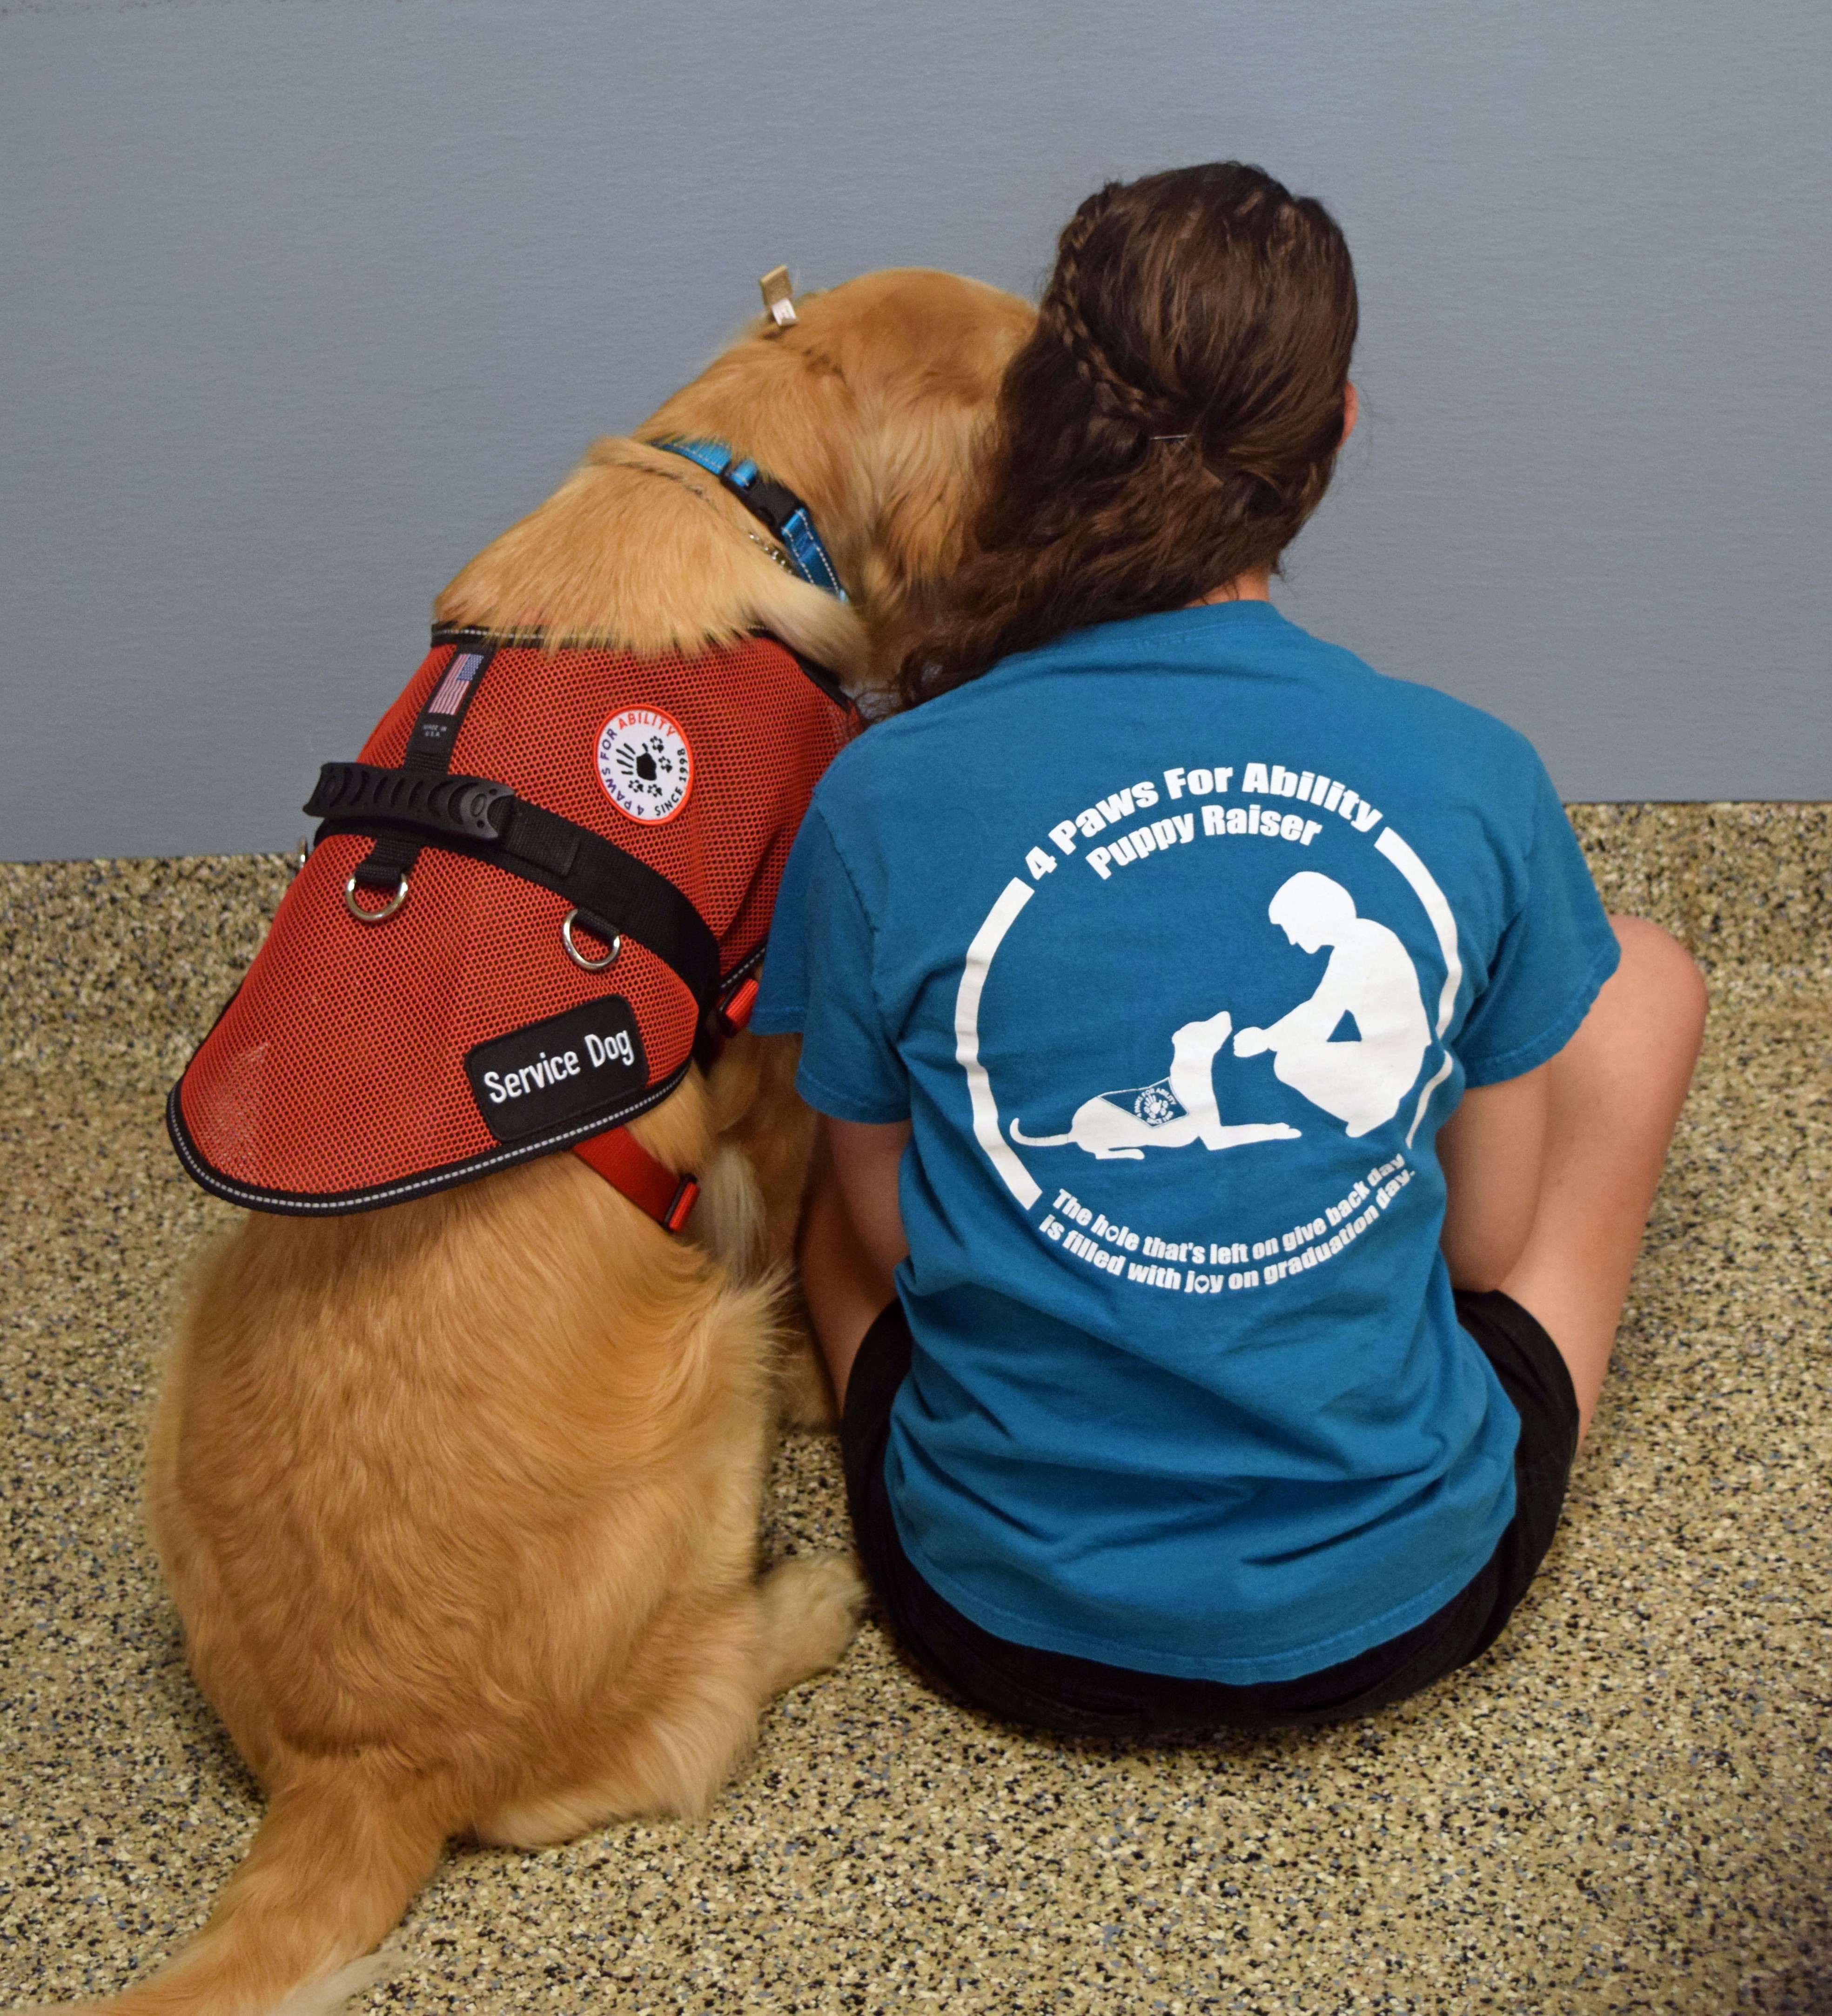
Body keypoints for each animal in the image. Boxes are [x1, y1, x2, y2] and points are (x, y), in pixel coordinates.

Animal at [32, 272, 1027, 2016]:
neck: (730, 477)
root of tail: (352, 1772)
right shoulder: (772, 1018)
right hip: (699, 1384)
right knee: (687, 1717)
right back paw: (803, 1601)